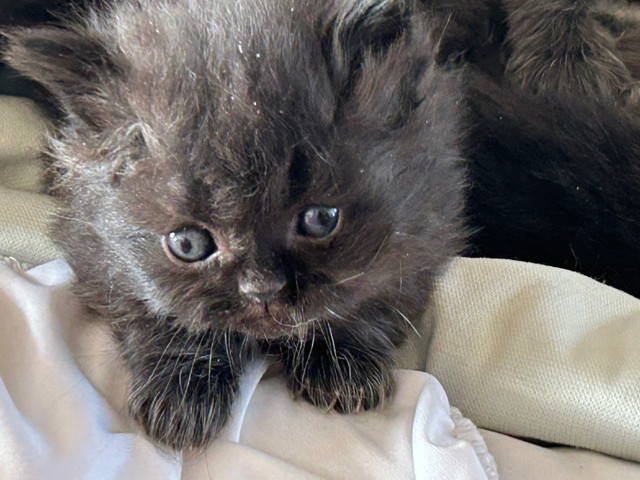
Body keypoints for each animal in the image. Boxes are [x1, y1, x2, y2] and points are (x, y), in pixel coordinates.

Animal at [2, 0, 468, 450]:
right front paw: (182, 395)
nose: (262, 289)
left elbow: (371, 293)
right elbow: (159, 308)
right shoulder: (94, 247)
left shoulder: (429, 219)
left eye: (320, 220)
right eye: (188, 244)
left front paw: (344, 366)